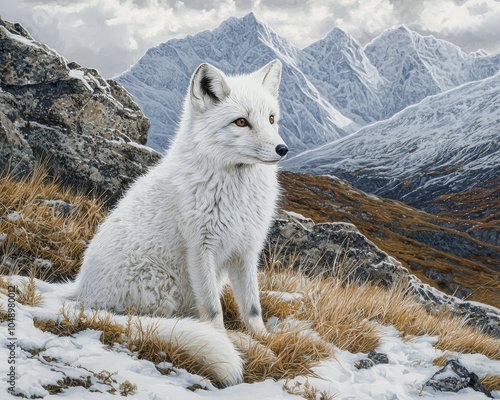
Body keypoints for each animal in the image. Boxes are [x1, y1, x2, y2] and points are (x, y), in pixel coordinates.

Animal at [67, 59, 288, 388]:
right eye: (241, 122)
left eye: (271, 119)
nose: (282, 149)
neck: (235, 192)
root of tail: (80, 295)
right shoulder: (200, 248)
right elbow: (213, 311)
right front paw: (227, 341)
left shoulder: (246, 251)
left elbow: (252, 308)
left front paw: (265, 339)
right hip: (162, 288)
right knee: (170, 322)